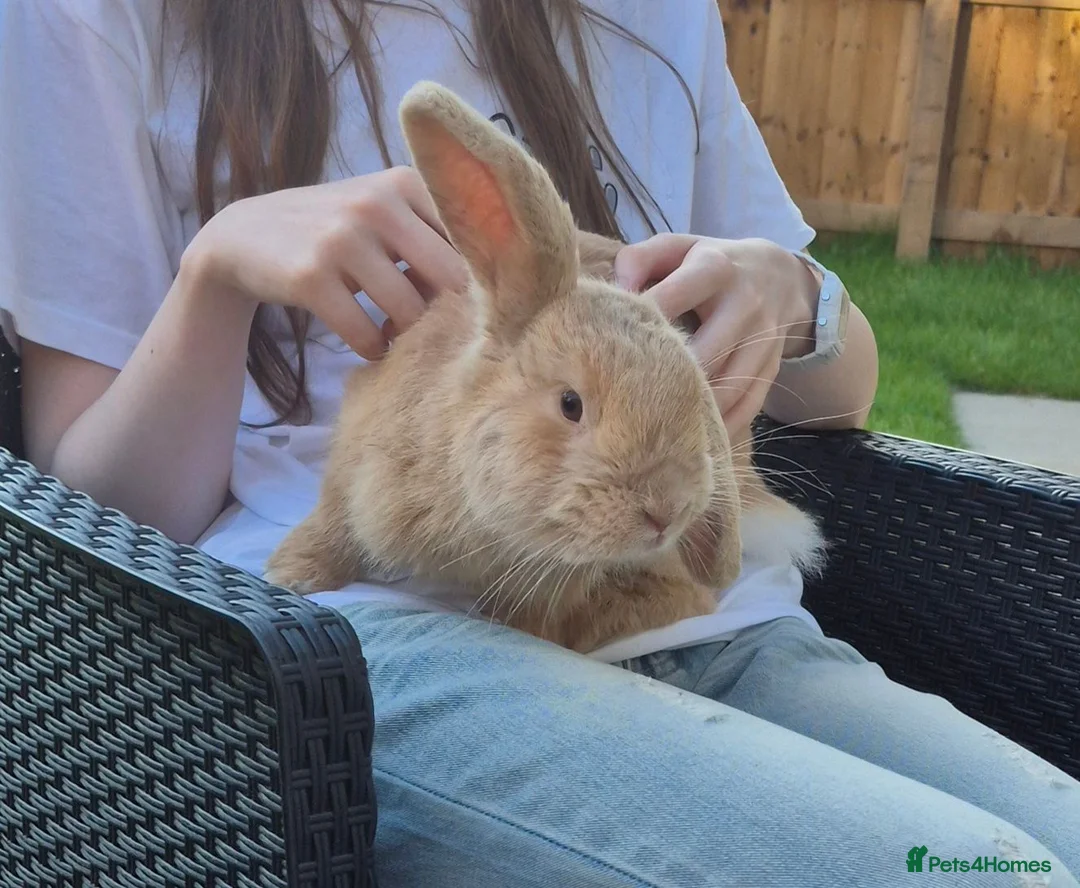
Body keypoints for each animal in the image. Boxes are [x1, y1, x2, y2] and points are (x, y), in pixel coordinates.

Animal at [266, 80, 823, 653]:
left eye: (696, 396)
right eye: (570, 404)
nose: (666, 512)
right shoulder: (355, 460)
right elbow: (335, 524)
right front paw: (292, 573)